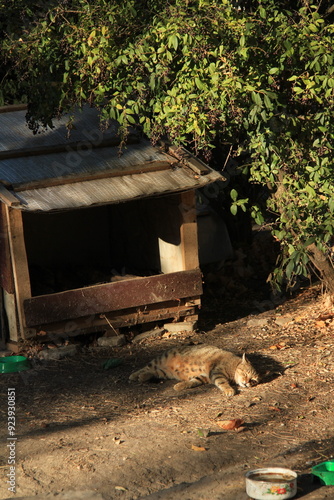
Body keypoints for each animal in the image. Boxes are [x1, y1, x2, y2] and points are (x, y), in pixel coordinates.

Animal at [128, 344, 258, 394]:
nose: (247, 382)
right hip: (159, 360)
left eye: (253, 380)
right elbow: (222, 382)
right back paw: (134, 375)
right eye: (246, 374)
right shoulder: (217, 372)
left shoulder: (204, 377)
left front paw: (180, 386)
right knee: (145, 367)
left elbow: (192, 382)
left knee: (152, 372)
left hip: (164, 372)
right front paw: (229, 389)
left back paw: (143, 377)